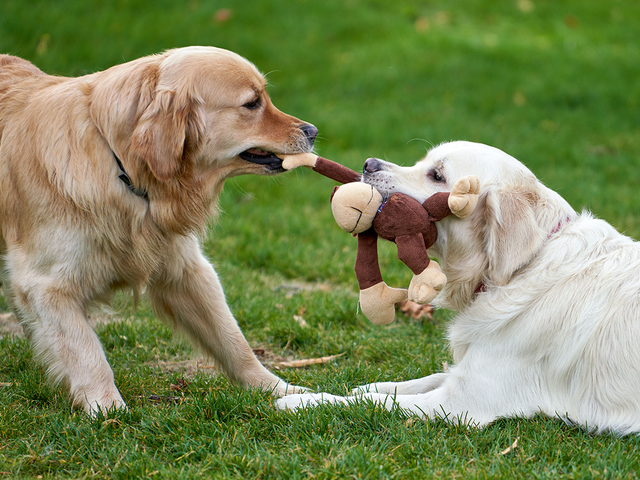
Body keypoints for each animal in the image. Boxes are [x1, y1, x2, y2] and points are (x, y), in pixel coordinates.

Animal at [276, 140, 640, 436]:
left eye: (437, 175)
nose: (369, 164)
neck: (523, 268)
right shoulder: (465, 374)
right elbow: (414, 382)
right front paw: (369, 385)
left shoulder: (462, 402)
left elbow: (373, 403)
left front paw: (305, 402)